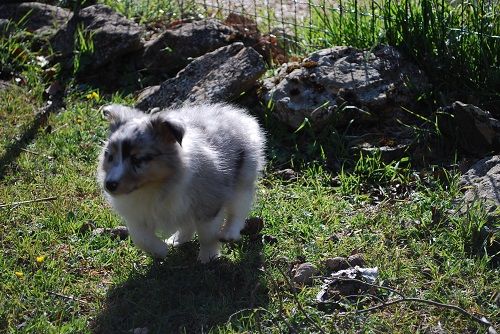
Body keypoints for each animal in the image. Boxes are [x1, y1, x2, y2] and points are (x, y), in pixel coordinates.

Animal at [99, 103, 268, 262]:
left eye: (137, 159)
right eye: (110, 156)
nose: (109, 185)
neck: (154, 186)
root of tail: (238, 115)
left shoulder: (208, 204)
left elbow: (207, 235)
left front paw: (208, 258)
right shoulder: (137, 214)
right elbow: (140, 237)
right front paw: (160, 251)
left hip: (243, 177)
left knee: (238, 208)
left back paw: (228, 234)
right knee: (188, 222)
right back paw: (175, 240)